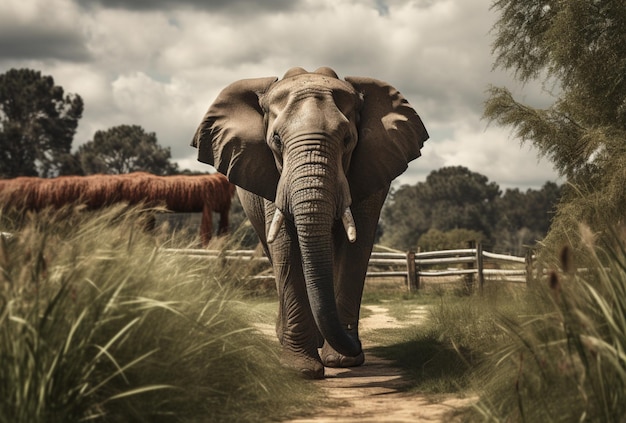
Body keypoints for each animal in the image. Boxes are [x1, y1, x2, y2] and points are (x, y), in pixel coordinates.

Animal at [190, 68, 426, 380]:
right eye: (276, 140)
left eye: (348, 139)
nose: (354, 340)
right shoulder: (270, 175)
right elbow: (286, 248)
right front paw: (299, 369)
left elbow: (356, 247)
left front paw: (342, 361)